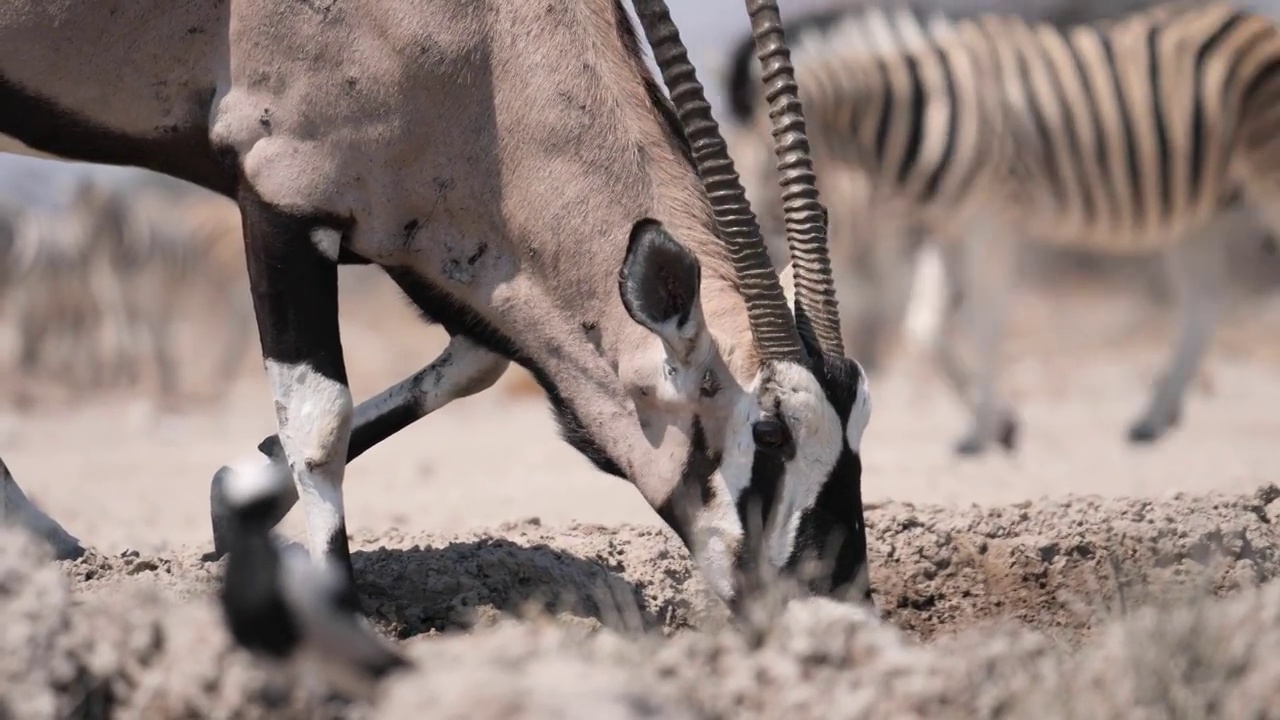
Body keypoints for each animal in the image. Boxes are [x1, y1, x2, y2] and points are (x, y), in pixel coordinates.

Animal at [0, 0, 875, 609]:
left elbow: (475, 363)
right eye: (769, 430)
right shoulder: (281, 197)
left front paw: (237, 496)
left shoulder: (424, 231)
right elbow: (320, 419)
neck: (485, 47)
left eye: (859, 422)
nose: (838, 603)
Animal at [727, 0, 1280, 450]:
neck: (923, 109)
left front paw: (978, 434)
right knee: (1203, 304)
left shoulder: (988, 220)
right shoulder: (947, 226)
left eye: (757, 174)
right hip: (1199, 214)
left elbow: (985, 323)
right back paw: (1153, 419)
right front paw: (1001, 426)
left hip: (1262, 179)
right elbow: (925, 328)